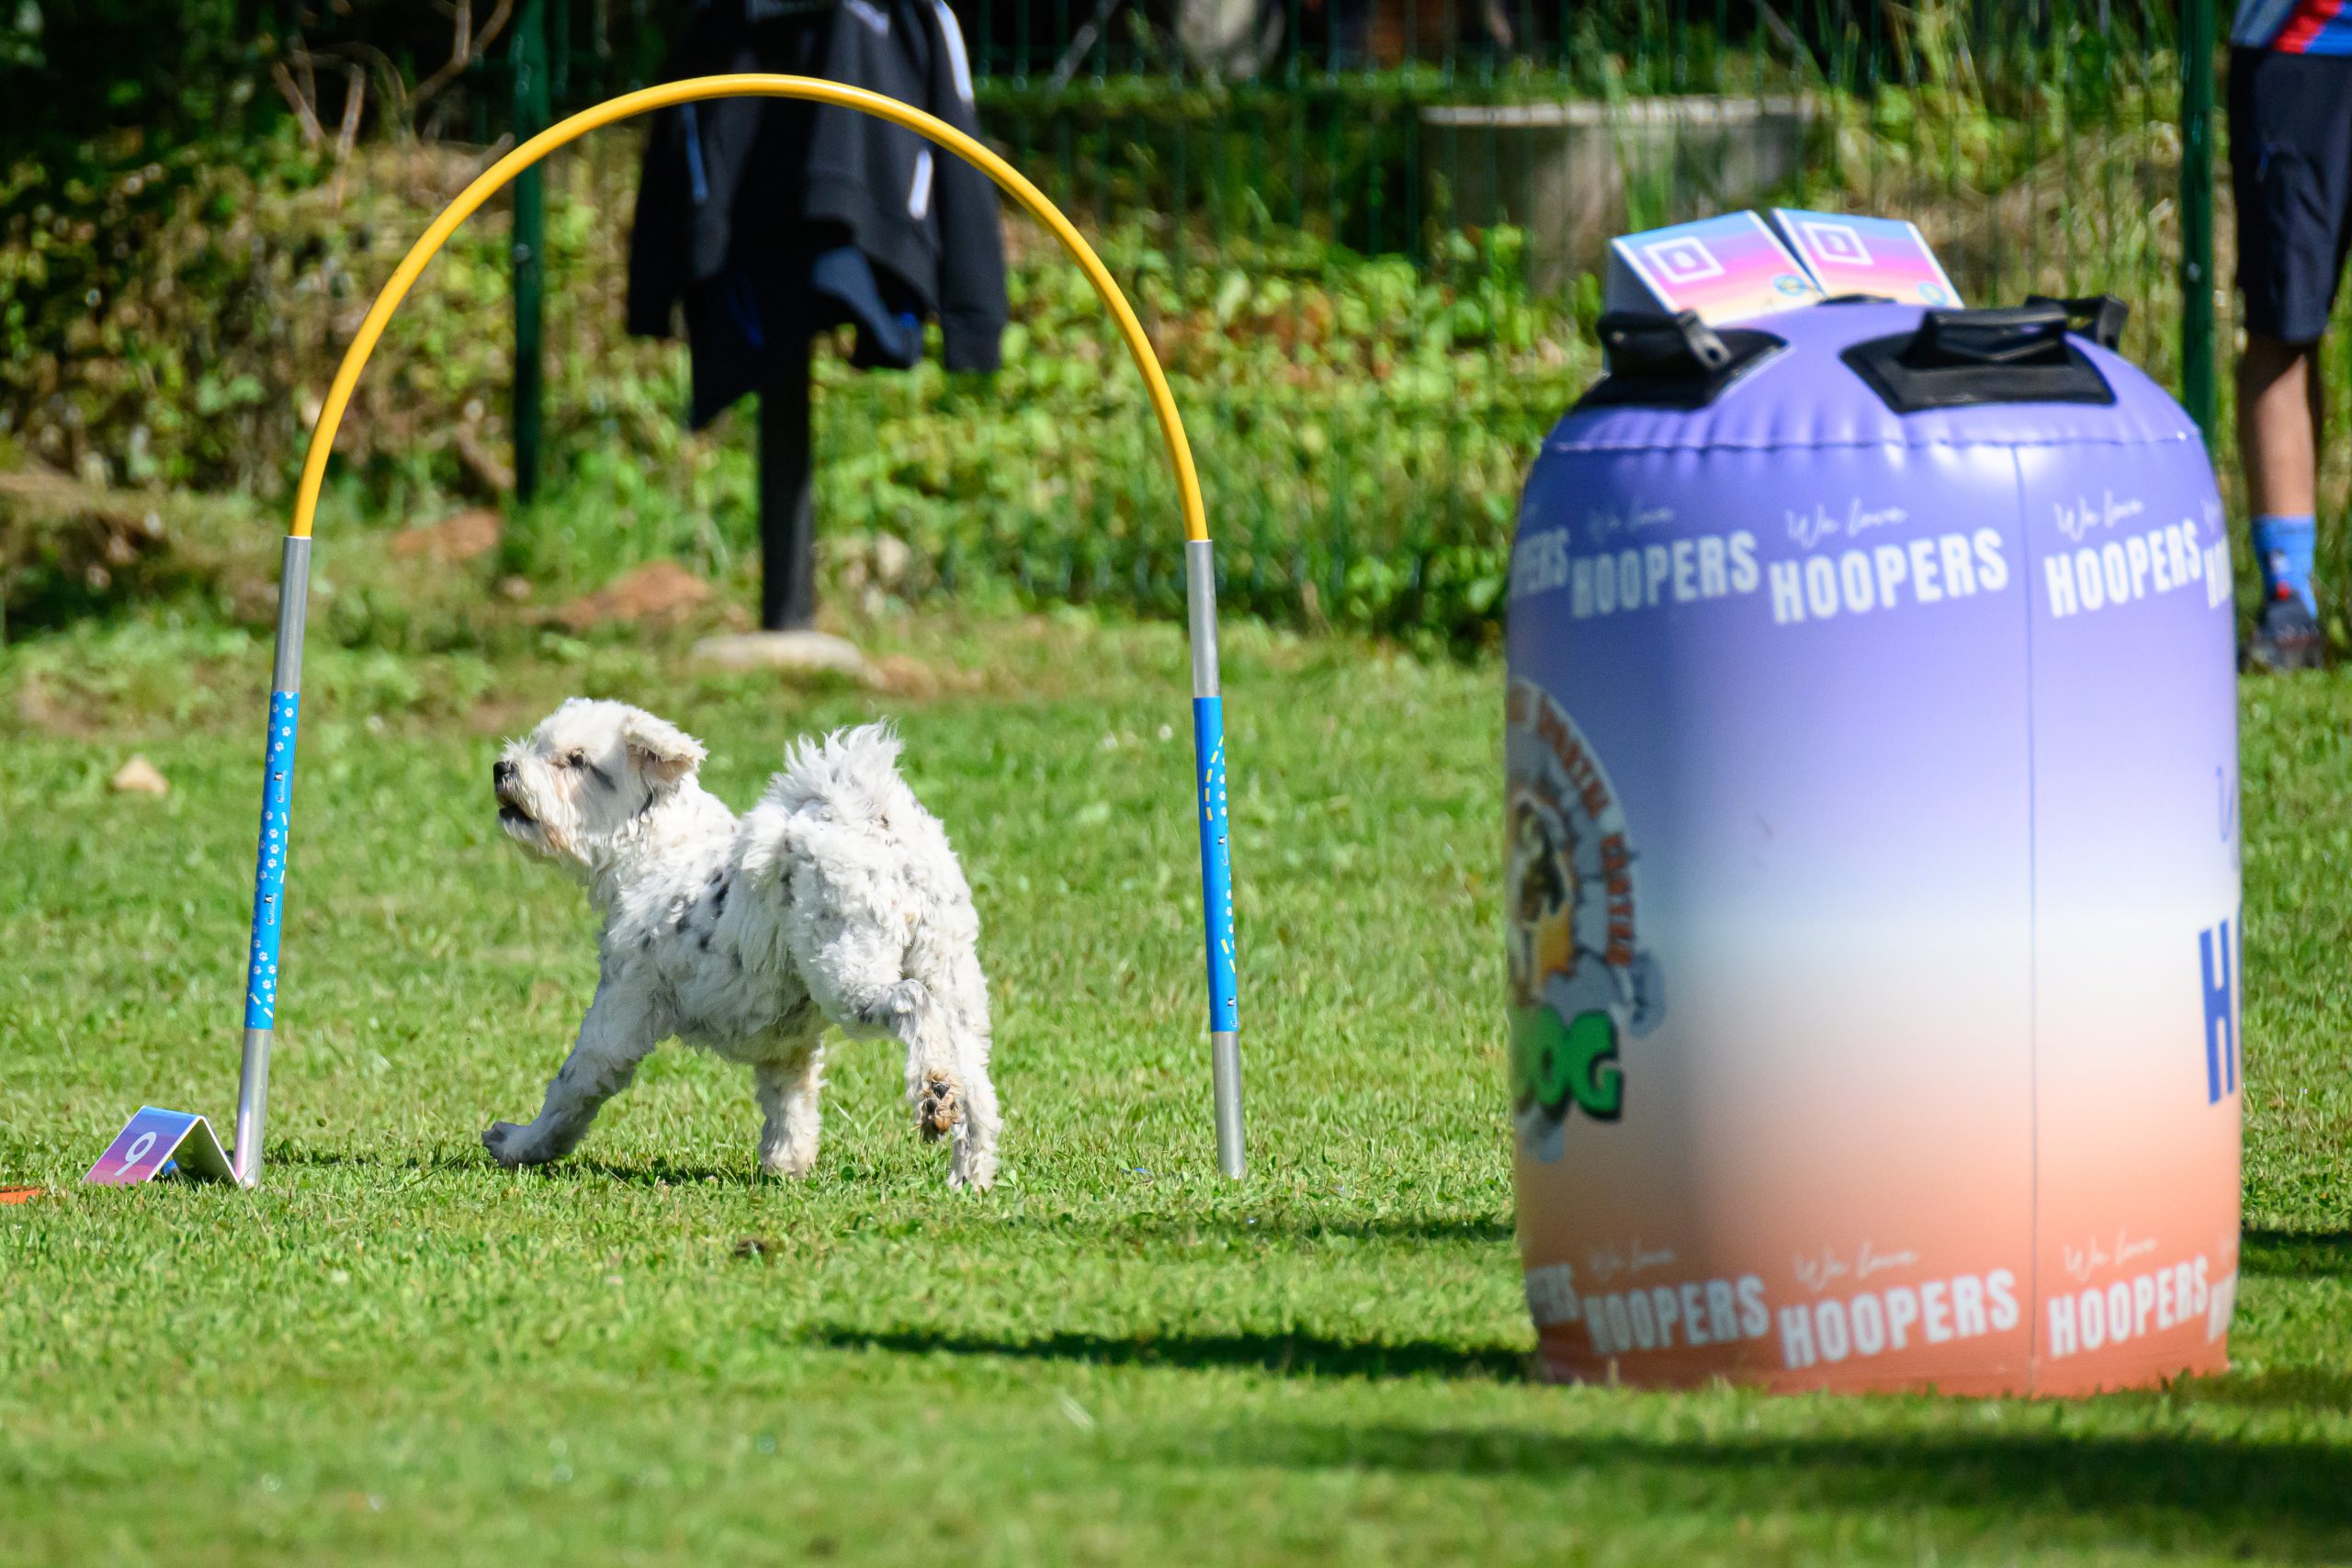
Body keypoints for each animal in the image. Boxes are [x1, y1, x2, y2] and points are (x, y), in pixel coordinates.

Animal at [483, 700, 1000, 1189]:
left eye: (576, 760)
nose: (501, 767)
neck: (658, 855)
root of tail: (874, 817)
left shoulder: (618, 1012)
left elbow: (570, 1087)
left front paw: (519, 1144)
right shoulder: (785, 1046)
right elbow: (790, 1105)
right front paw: (786, 1167)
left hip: (848, 974)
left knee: (912, 1003)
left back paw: (933, 1094)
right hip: (954, 981)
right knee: (977, 1091)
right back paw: (967, 1174)